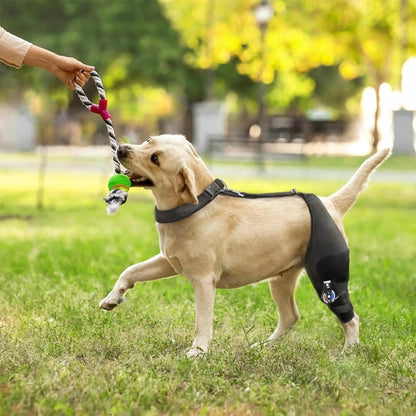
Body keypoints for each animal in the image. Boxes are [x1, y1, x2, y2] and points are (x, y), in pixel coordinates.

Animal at [99, 134, 392, 358]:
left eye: (155, 159)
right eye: (149, 140)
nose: (122, 149)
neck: (196, 206)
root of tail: (331, 203)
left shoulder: (204, 281)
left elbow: (202, 321)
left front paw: (198, 351)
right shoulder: (168, 261)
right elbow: (131, 270)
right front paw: (113, 297)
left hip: (327, 279)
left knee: (349, 318)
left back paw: (348, 352)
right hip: (281, 281)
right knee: (290, 317)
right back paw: (265, 347)